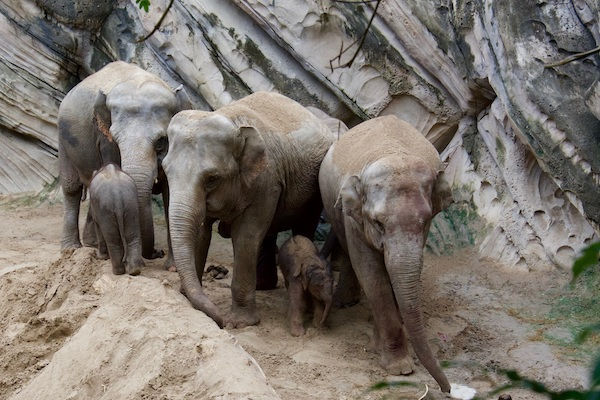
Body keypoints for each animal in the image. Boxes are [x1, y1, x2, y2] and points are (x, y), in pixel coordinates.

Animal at [59, 61, 189, 268]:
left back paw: (91, 244)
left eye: (161, 140)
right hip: (63, 138)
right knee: (71, 187)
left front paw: (172, 268)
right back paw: (71, 248)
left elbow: (171, 193)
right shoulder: (104, 139)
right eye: (116, 139)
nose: (157, 252)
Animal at [162, 91, 336, 328]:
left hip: (314, 190)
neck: (231, 119)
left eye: (212, 179)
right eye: (165, 170)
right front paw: (187, 298)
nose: (221, 322)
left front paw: (240, 322)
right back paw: (263, 286)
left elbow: (246, 236)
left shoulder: (267, 181)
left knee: (303, 224)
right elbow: (201, 231)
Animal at [318, 114, 450, 392]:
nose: (448, 389)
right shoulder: (355, 218)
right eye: (378, 222)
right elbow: (372, 275)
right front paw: (400, 368)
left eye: (424, 222)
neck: (392, 153)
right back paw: (346, 301)